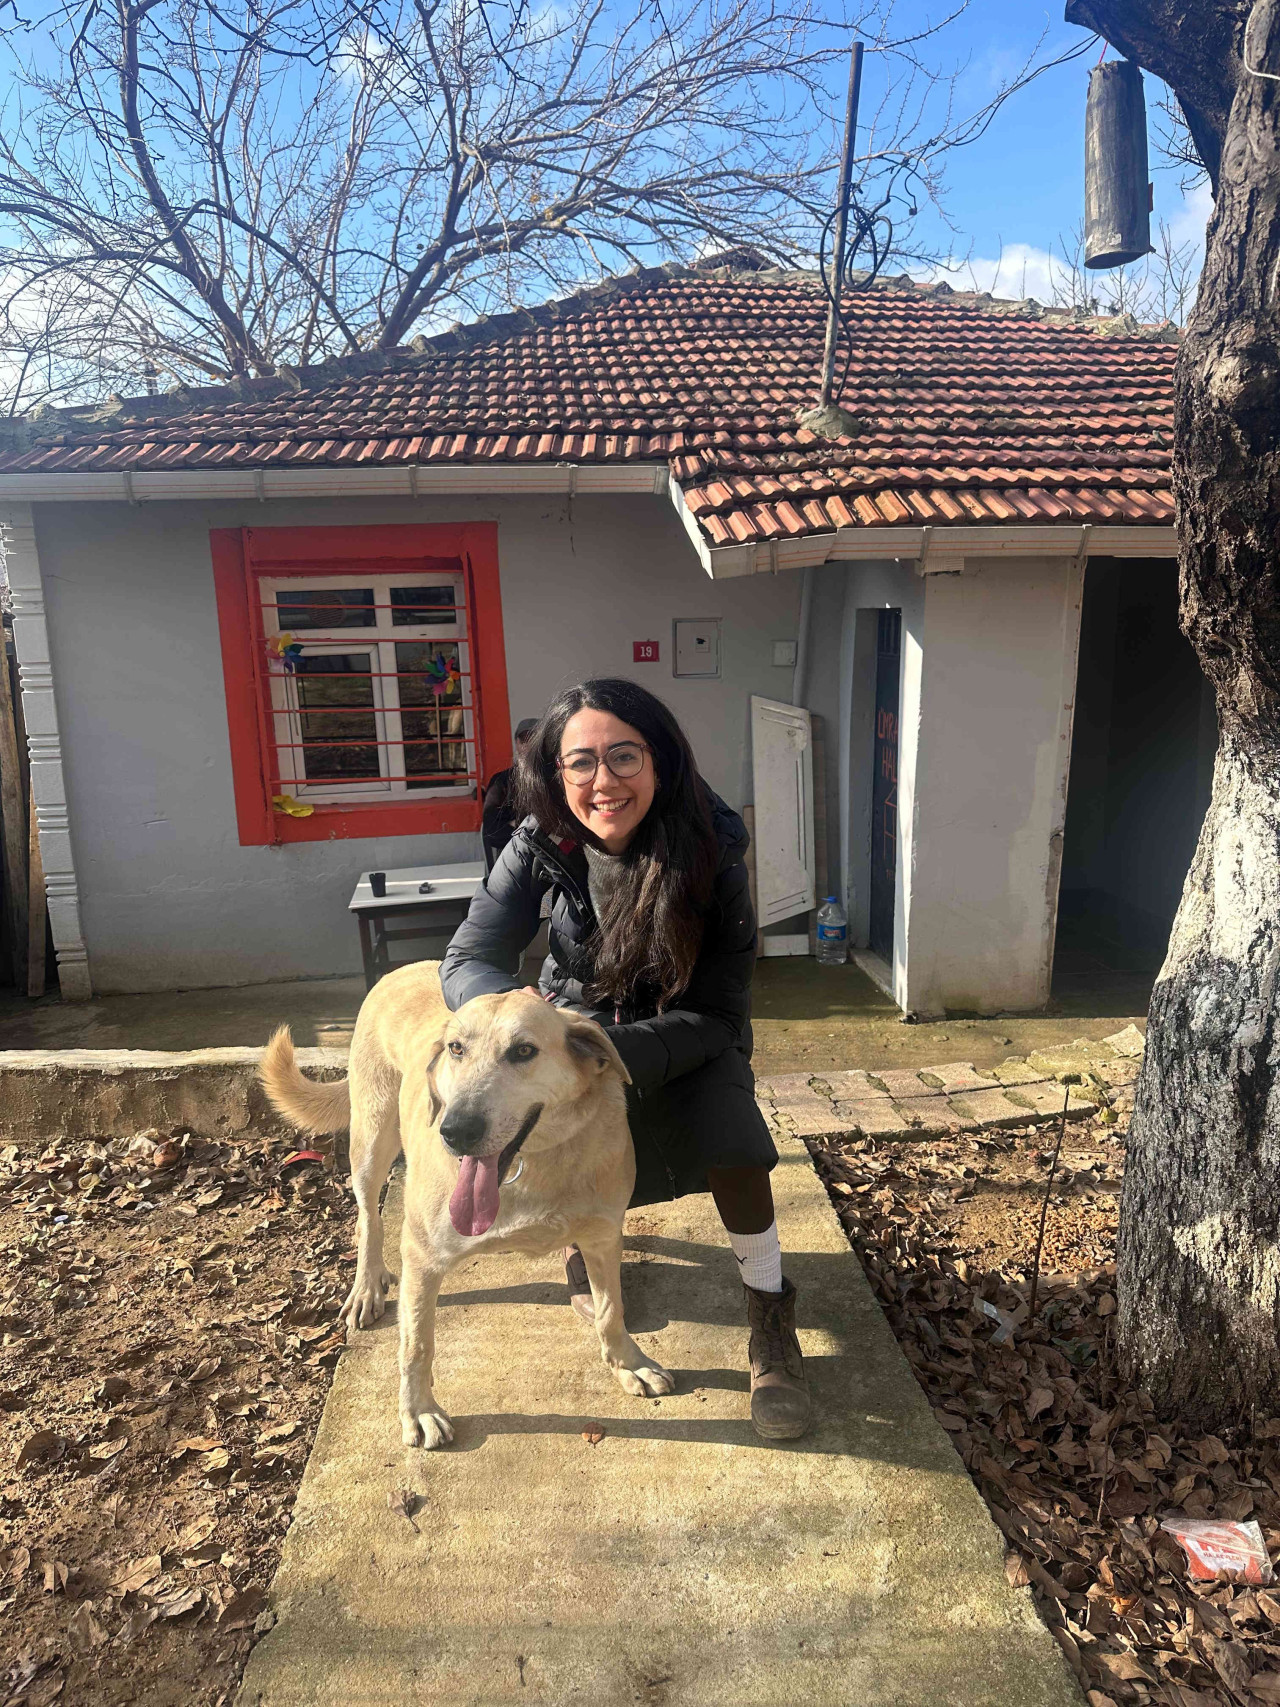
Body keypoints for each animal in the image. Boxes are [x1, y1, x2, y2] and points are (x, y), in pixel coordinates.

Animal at [261, 962, 682, 1440]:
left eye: (523, 1051)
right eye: (456, 1049)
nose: (455, 1131)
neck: (532, 1166)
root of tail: (400, 969)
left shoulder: (602, 1237)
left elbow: (612, 1310)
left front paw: (629, 1364)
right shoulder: (422, 1257)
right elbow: (416, 1344)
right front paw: (418, 1410)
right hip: (371, 1141)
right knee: (368, 1216)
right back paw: (367, 1285)